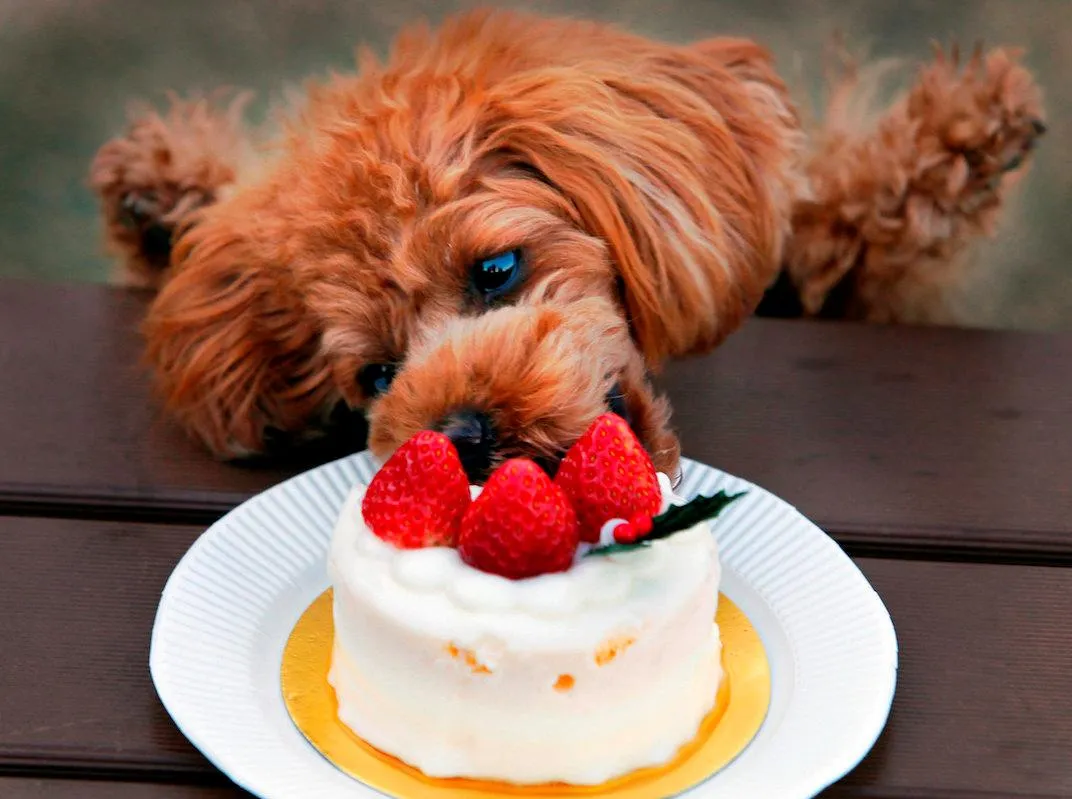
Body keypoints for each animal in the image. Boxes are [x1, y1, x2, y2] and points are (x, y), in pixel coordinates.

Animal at [87, 7, 1041, 480]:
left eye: (497, 269)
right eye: (377, 375)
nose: (464, 435)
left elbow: (850, 222)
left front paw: (964, 128)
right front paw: (166, 197)